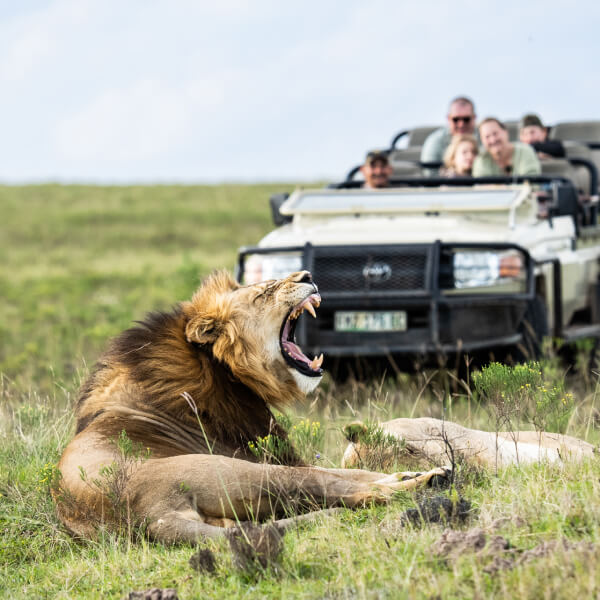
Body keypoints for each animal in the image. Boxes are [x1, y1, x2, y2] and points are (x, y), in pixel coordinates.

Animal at [52, 272, 450, 544]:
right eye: (264, 292)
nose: (307, 275)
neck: (218, 368)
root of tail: (148, 516)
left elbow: (353, 470)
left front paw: (405, 470)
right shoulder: (274, 455)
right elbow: (344, 473)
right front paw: (412, 473)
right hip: (246, 470)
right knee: (348, 492)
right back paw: (431, 481)